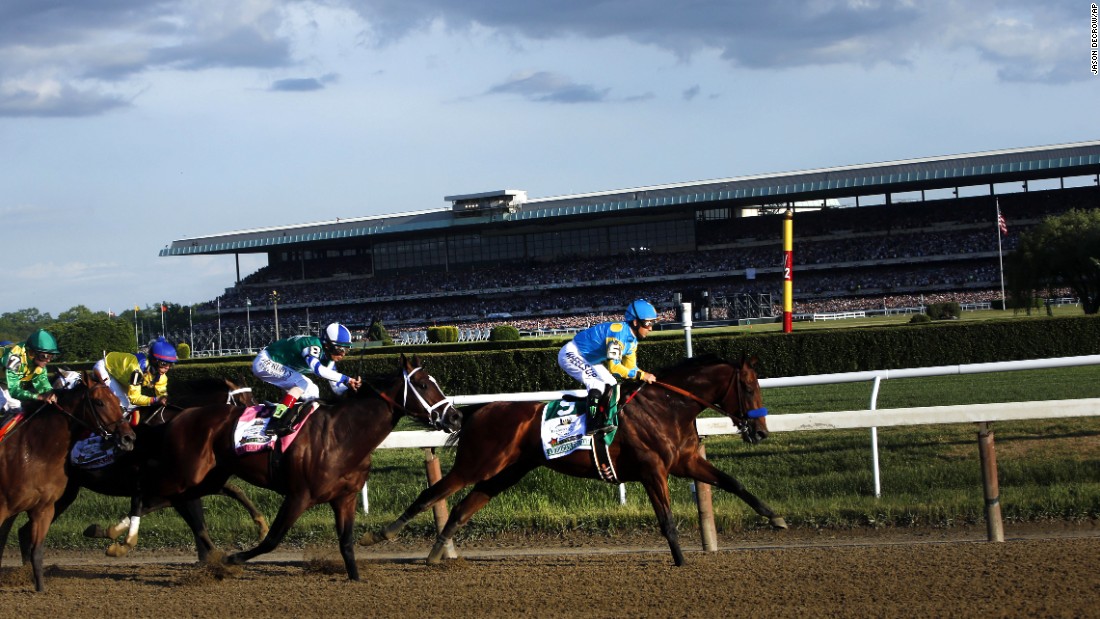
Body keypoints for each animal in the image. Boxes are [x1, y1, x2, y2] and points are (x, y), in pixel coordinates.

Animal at [0, 373, 135, 589]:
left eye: (117, 400)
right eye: (99, 402)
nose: (128, 438)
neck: (36, 451)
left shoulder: (44, 508)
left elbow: (37, 551)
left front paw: (40, 588)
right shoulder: (3, 507)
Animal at [139, 356, 462, 580]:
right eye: (423, 385)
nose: (456, 417)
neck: (344, 435)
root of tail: (178, 416)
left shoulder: (344, 497)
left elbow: (347, 544)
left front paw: (356, 578)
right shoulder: (298, 496)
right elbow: (272, 540)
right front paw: (231, 560)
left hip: (208, 476)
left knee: (175, 499)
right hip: (188, 474)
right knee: (161, 496)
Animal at [358, 354, 783, 567]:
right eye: (749, 386)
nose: (761, 432)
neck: (667, 407)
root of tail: (477, 411)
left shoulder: (685, 462)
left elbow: (733, 482)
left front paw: (775, 517)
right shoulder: (653, 470)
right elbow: (666, 519)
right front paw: (680, 561)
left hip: (505, 472)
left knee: (463, 507)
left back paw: (434, 554)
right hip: (476, 464)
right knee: (431, 495)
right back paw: (381, 534)